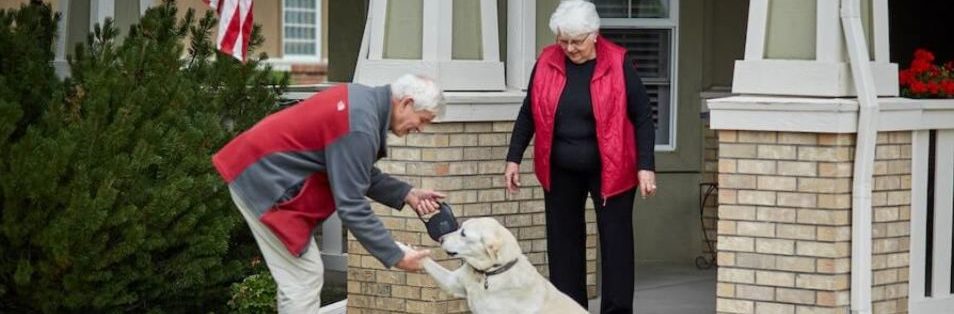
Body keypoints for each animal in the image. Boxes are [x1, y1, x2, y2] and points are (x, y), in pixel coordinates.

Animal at [396, 217, 588, 314]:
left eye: (464, 233)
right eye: (459, 227)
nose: (441, 238)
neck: (488, 274)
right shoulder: (453, 282)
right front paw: (404, 248)